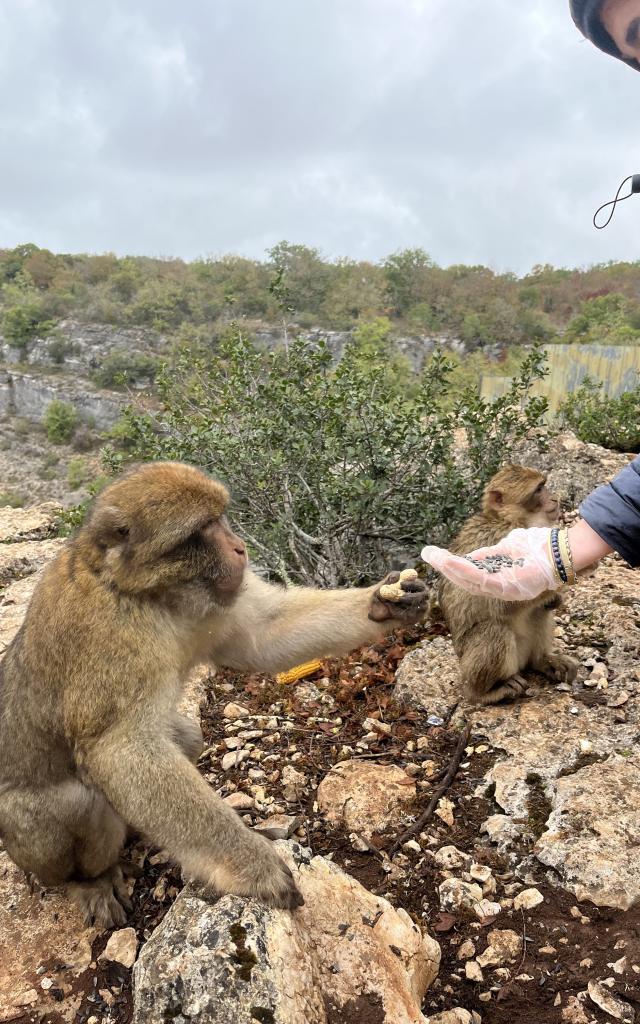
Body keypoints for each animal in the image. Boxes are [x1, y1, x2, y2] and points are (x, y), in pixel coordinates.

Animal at [0, 464, 430, 929]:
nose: (240, 548)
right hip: (25, 843)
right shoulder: (111, 638)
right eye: (203, 529)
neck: (147, 596)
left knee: (187, 737)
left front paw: (384, 603)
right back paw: (89, 880)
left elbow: (262, 635)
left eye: (219, 518)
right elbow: (120, 750)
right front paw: (253, 866)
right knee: (75, 804)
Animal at [438, 464, 577, 704]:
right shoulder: (499, 541)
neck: (515, 522)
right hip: (474, 668)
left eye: (544, 485)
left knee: (538, 612)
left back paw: (542, 661)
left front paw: (557, 597)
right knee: (493, 629)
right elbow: (500, 603)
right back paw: (485, 692)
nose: (553, 499)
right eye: (538, 490)